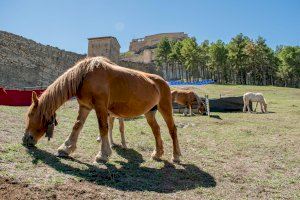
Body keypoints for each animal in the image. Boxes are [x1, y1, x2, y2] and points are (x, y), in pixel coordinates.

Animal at [22, 56, 180, 162]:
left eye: (31, 115)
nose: (25, 139)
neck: (85, 74)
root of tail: (163, 82)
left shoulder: (100, 107)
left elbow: (103, 128)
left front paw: (103, 154)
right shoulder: (85, 107)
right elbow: (77, 126)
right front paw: (66, 148)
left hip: (165, 108)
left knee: (172, 130)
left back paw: (176, 156)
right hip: (150, 113)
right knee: (156, 130)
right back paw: (157, 153)